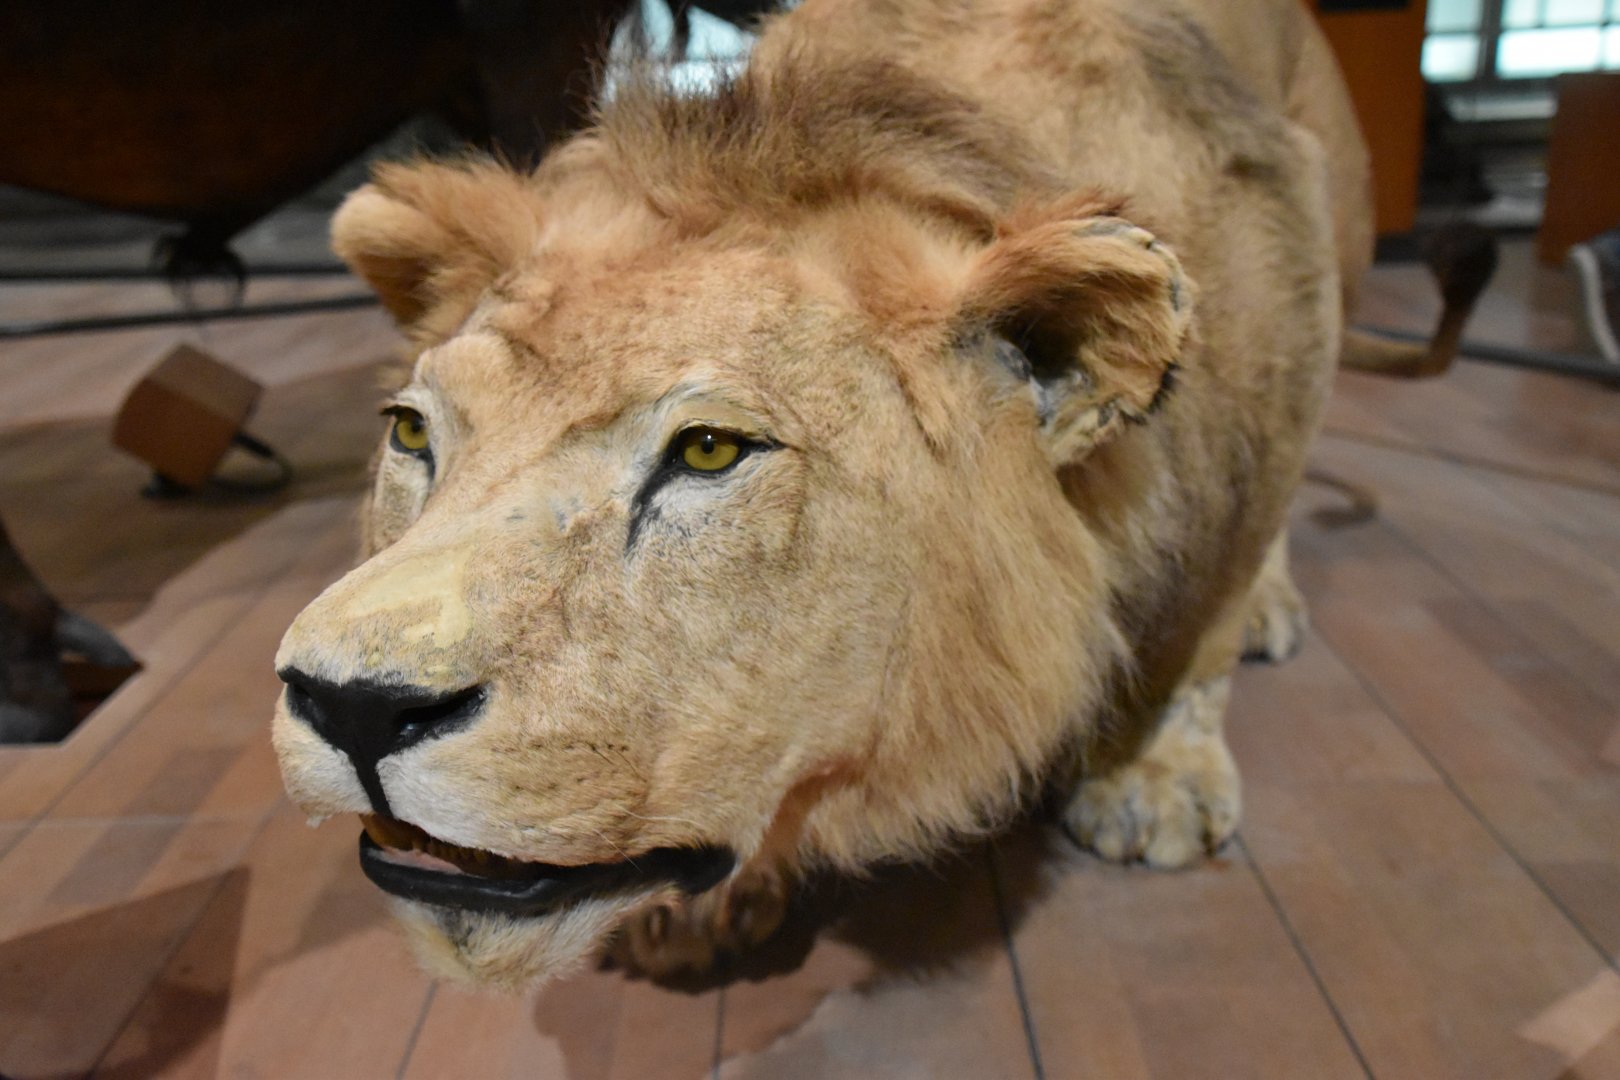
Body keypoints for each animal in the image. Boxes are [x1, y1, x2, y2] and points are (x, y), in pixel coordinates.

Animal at [272, 0, 1488, 988]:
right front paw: (703, 905)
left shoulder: (1282, 326)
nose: (351, 706)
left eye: (707, 452)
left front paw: (1152, 781)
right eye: (412, 433)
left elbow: (1204, 619)